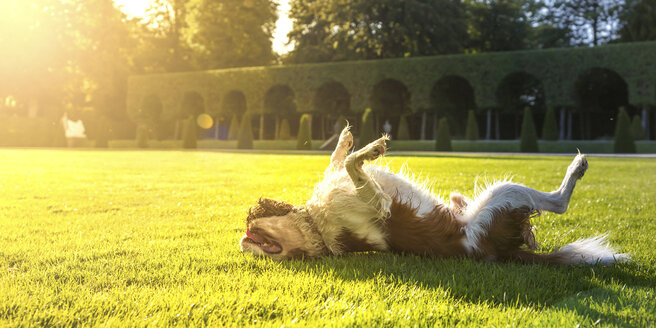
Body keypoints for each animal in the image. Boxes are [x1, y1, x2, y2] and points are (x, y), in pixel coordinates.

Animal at [238, 127, 628, 266]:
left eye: (252, 234)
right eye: (258, 243)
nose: (244, 241)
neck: (318, 227)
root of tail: (502, 251)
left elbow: (336, 161)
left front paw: (346, 139)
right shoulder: (375, 204)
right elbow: (351, 164)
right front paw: (370, 149)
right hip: (501, 195)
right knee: (558, 202)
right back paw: (577, 167)